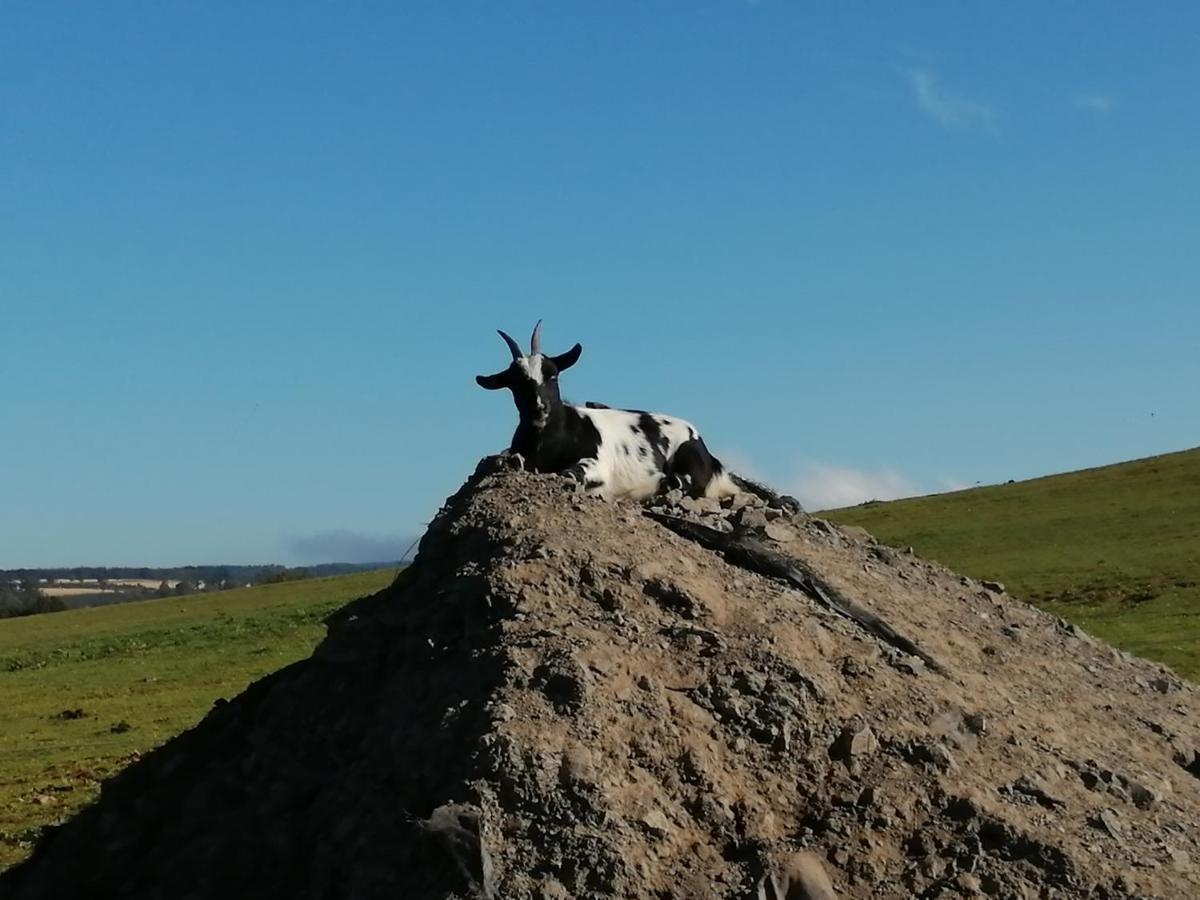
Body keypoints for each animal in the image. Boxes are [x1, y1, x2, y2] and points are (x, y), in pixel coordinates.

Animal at [475, 321, 739, 508]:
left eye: (553, 374)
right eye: (515, 383)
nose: (540, 408)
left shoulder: (597, 461)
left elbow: (571, 472)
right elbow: (513, 460)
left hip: (689, 461)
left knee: (680, 481)